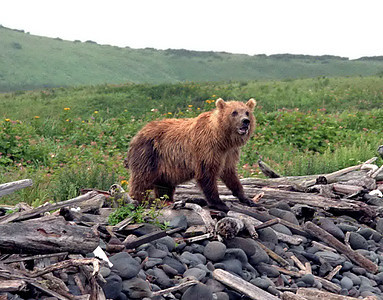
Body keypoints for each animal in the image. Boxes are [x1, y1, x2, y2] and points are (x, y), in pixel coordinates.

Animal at [126, 98, 256, 211]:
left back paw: (166, 200)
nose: (245, 121)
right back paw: (141, 200)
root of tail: (138, 133)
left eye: (247, 112)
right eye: (234, 112)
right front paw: (219, 203)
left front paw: (246, 198)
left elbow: (229, 173)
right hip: (149, 154)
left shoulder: (229, 153)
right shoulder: (207, 149)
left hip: (165, 165)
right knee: (142, 179)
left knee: (164, 184)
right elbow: (207, 174)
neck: (222, 138)